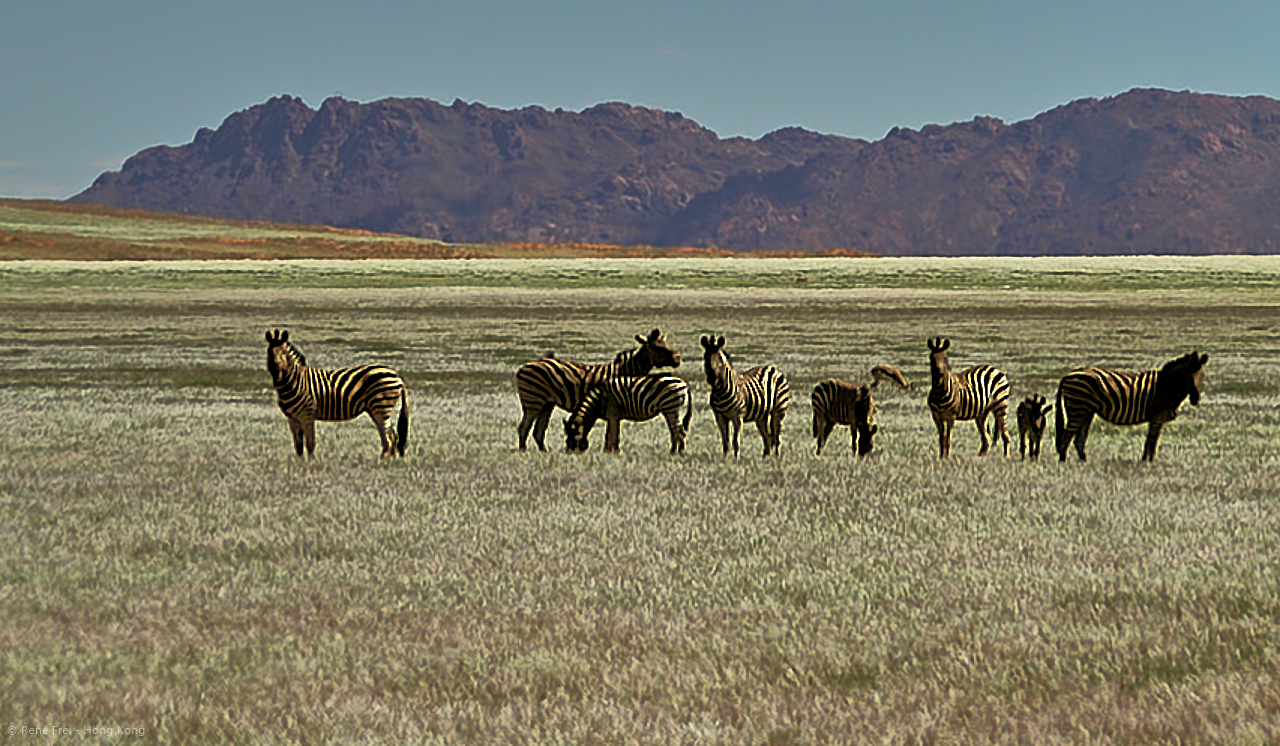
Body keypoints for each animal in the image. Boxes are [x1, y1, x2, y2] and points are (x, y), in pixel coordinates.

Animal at [264, 330, 409, 458]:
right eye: (270, 352)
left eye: (284, 353)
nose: (276, 371)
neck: (294, 382)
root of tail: (397, 376)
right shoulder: (292, 418)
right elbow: (298, 446)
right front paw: (299, 464)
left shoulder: (307, 415)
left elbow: (310, 443)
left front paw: (311, 464)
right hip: (376, 409)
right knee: (392, 437)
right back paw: (388, 461)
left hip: (381, 407)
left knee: (389, 438)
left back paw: (381, 463)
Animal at [517, 330, 686, 452]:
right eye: (658, 347)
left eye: (666, 344)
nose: (678, 359)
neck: (626, 370)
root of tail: (524, 366)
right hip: (533, 401)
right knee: (524, 428)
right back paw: (523, 450)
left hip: (547, 404)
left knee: (538, 431)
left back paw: (544, 451)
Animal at [565, 373, 696, 455]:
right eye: (567, 440)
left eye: (572, 439)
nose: (570, 454)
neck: (599, 400)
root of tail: (683, 383)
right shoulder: (615, 417)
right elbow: (614, 433)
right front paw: (613, 451)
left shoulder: (612, 415)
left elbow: (610, 434)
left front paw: (609, 452)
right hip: (670, 409)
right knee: (676, 431)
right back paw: (674, 451)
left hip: (672, 408)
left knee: (679, 431)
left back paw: (678, 453)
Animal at [1049, 350, 1208, 460]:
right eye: (1189, 377)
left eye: (1202, 376)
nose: (1196, 400)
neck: (1167, 386)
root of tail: (1067, 375)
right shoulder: (1157, 418)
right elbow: (1152, 442)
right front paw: (1148, 463)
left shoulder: (1156, 419)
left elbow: (1151, 441)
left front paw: (1146, 461)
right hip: (1078, 408)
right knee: (1066, 438)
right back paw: (1063, 465)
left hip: (1086, 411)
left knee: (1079, 439)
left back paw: (1083, 463)